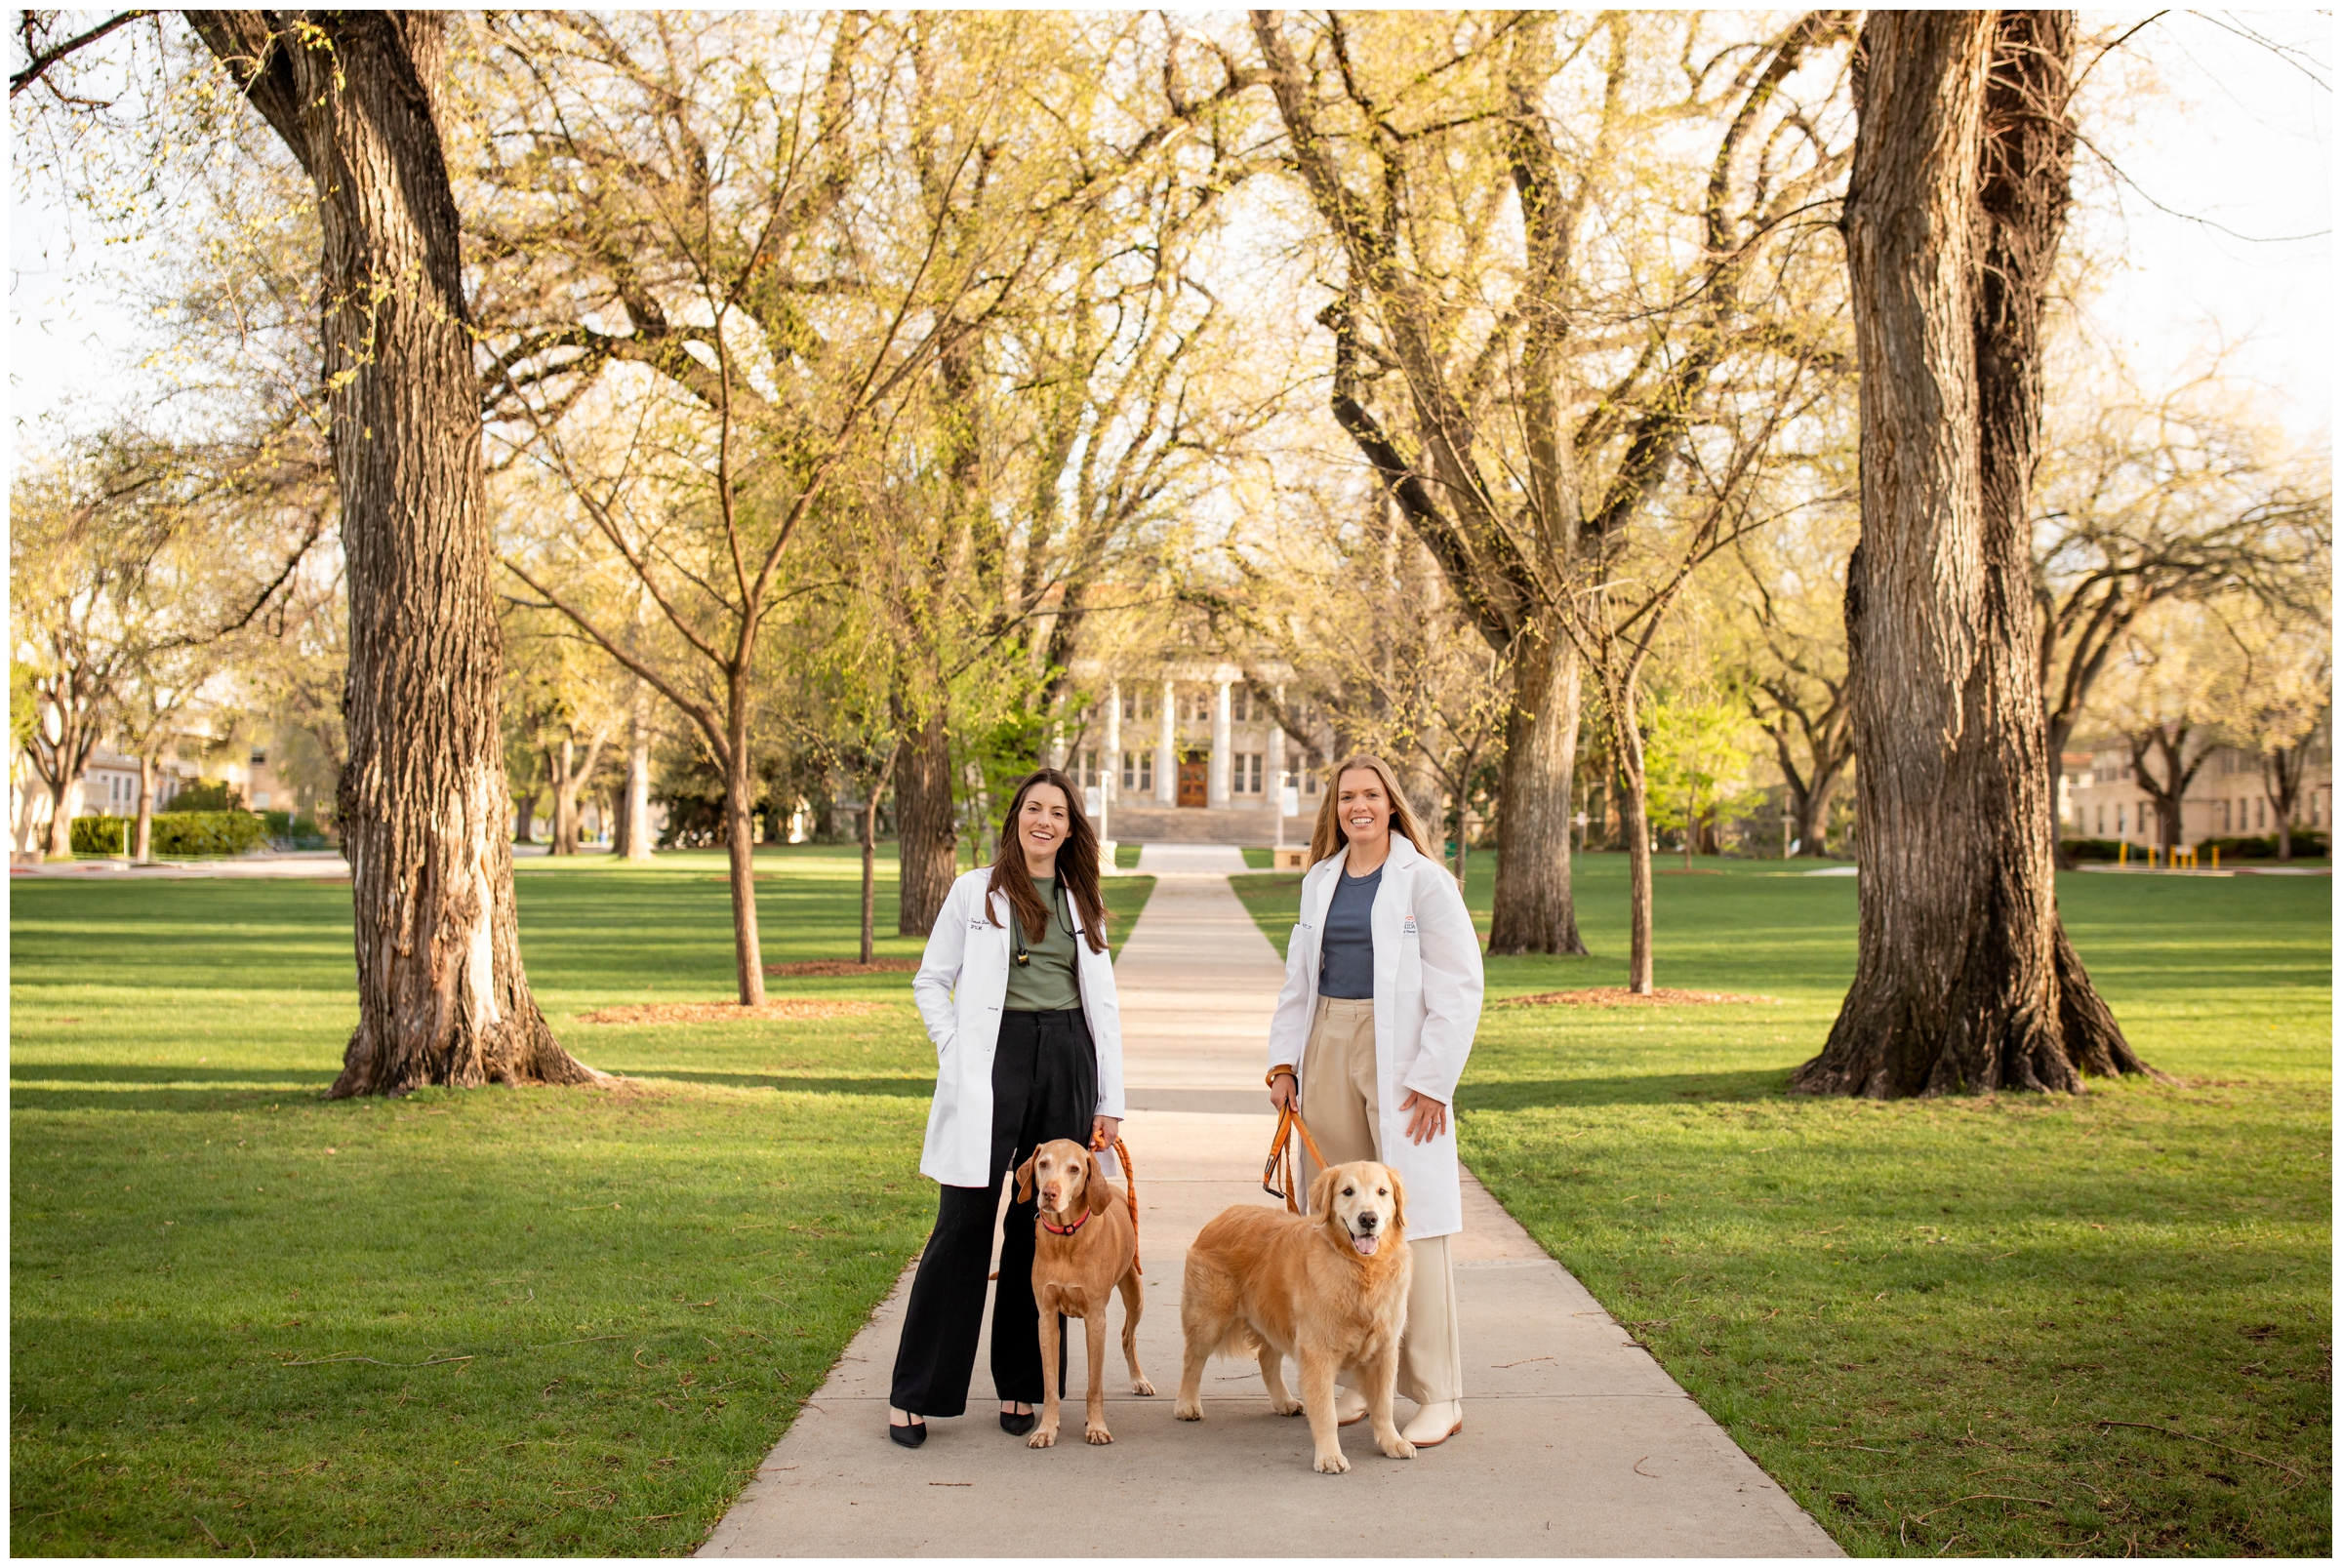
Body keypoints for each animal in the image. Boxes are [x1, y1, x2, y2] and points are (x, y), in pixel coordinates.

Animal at [1011, 1142, 1148, 1451]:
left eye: (1074, 1169)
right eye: (1043, 1164)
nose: (1049, 1193)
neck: (1065, 1239)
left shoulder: (1095, 1319)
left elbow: (1094, 1385)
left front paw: (1096, 1427)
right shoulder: (1047, 1317)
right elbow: (1050, 1386)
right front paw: (1046, 1429)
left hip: (1135, 1291)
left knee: (1129, 1336)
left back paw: (1139, 1380)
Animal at [1171, 1160, 1405, 1478]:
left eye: (1382, 1192)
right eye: (1347, 1191)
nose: (1368, 1219)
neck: (1360, 1269)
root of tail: (1223, 1215)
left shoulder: (1384, 1349)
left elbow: (1383, 1403)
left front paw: (1392, 1441)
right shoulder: (1318, 1352)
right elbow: (1326, 1414)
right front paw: (1330, 1456)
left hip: (1276, 1318)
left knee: (1266, 1358)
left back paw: (1283, 1401)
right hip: (1210, 1317)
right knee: (1192, 1360)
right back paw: (1187, 1405)